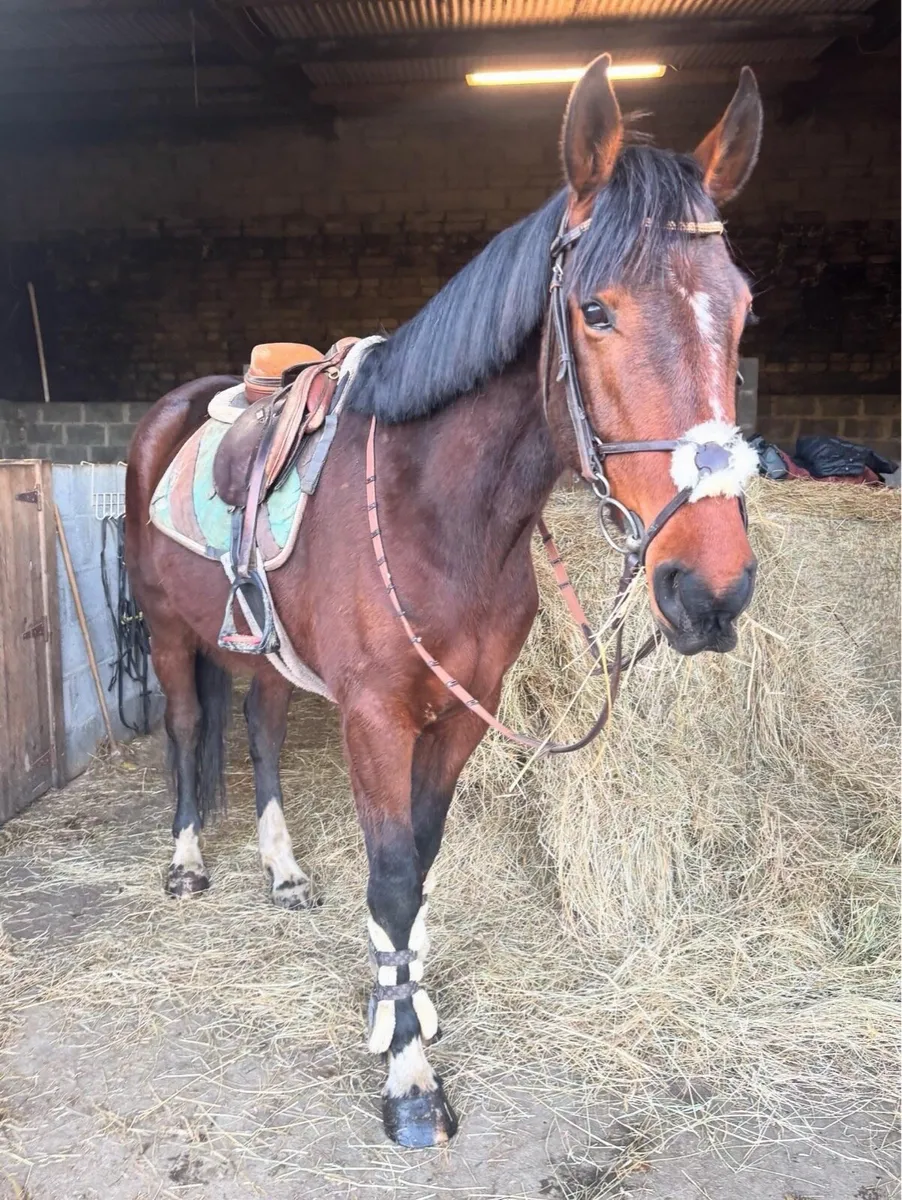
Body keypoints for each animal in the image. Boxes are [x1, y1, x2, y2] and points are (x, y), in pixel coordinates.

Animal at [125, 54, 763, 1148]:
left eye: (743, 308)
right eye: (595, 311)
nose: (708, 590)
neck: (434, 505)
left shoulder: (464, 713)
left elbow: (419, 870)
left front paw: (404, 1009)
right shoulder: (378, 718)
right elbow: (389, 876)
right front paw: (410, 1083)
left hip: (262, 652)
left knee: (256, 731)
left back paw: (283, 871)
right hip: (169, 634)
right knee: (185, 727)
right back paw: (187, 864)